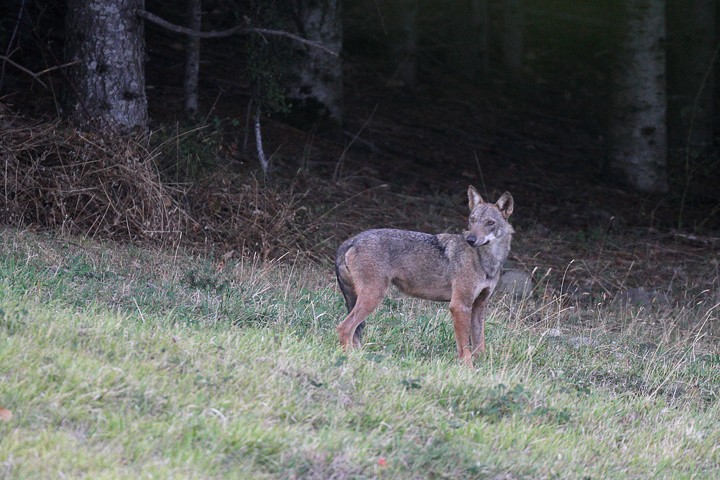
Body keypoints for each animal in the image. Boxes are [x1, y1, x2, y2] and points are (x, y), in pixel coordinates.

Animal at [336, 186, 512, 366]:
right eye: (472, 220)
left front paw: (483, 368)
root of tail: (351, 240)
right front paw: (468, 369)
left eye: (490, 223)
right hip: (373, 298)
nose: (470, 239)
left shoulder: (478, 306)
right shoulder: (459, 306)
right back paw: (349, 358)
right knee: (344, 328)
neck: (486, 262)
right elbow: (464, 347)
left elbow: (480, 344)